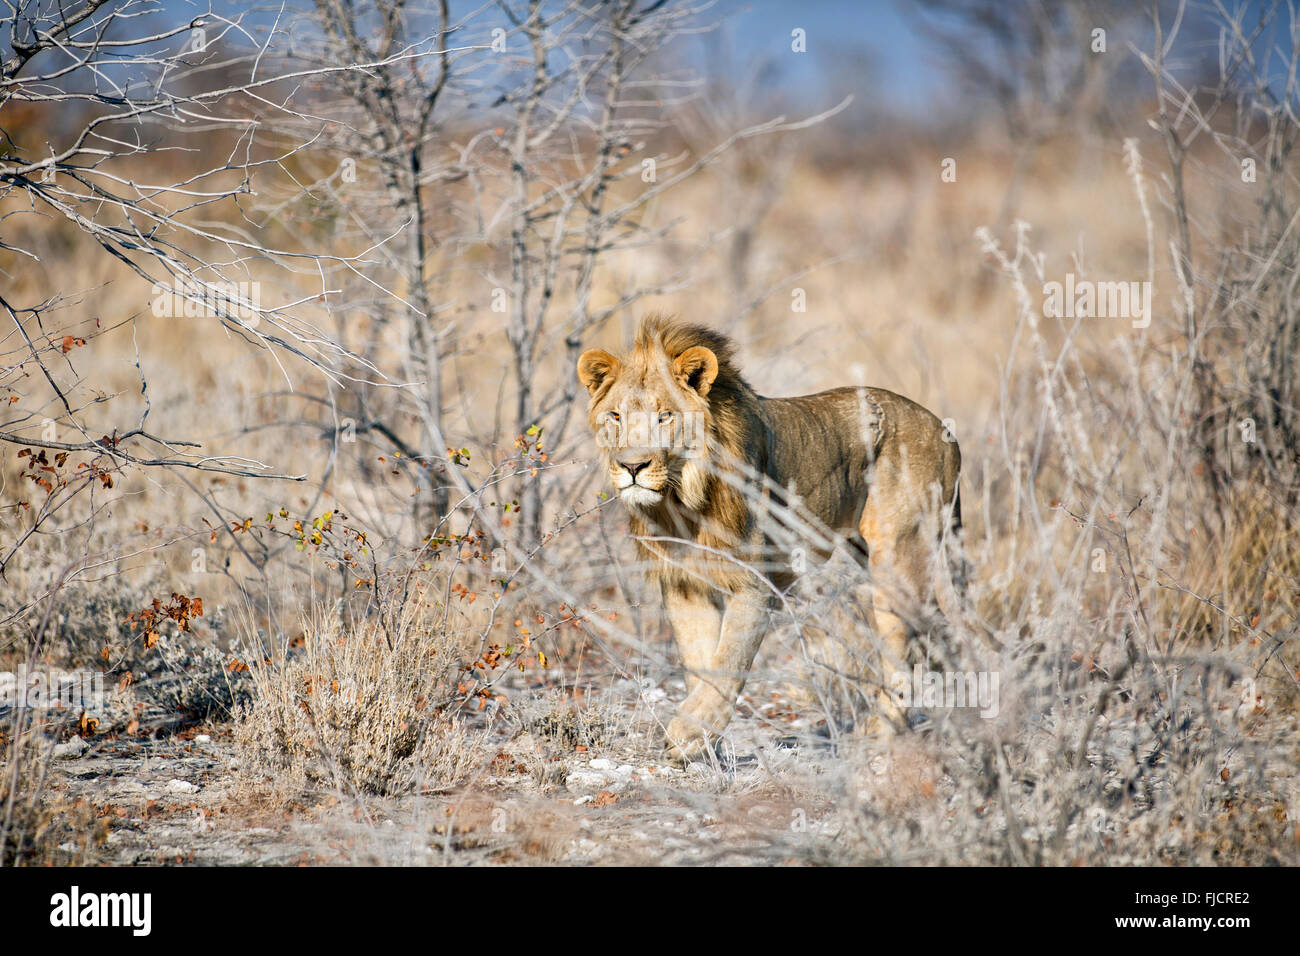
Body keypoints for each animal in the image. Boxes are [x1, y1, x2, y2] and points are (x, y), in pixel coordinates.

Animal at [574, 317, 961, 764]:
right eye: (616, 416)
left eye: (665, 417)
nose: (632, 466)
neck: (682, 499)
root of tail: (944, 430)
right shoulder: (685, 584)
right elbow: (701, 663)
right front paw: (702, 745)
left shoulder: (755, 585)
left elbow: (728, 661)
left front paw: (687, 735)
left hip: (898, 556)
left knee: (903, 649)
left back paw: (879, 735)